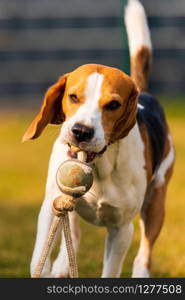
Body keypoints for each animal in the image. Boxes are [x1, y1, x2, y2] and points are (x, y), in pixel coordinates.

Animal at [23, 0, 175, 278]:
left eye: (113, 105)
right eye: (73, 97)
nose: (81, 131)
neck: (96, 163)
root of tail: (145, 92)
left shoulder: (122, 229)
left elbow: (112, 269)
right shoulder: (51, 205)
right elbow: (40, 257)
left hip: (156, 204)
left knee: (144, 254)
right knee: (72, 236)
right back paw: (62, 266)